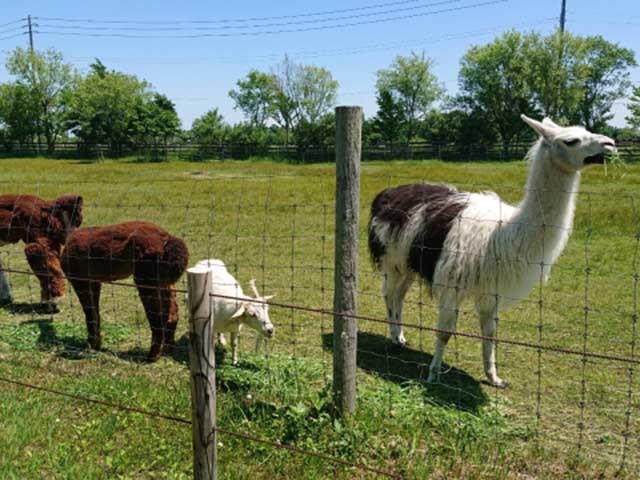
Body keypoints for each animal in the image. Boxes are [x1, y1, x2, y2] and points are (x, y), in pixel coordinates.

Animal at [368, 115, 616, 386]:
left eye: (587, 130)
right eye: (571, 140)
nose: (610, 143)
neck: (503, 233)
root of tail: (387, 192)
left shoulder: (491, 289)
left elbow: (490, 333)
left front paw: (494, 377)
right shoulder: (453, 283)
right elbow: (445, 333)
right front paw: (433, 375)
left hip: (410, 261)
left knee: (399, 295)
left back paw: (400, 336)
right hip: (392, 258)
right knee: (388, 293)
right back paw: (395, 336)